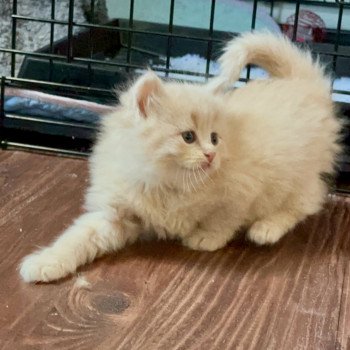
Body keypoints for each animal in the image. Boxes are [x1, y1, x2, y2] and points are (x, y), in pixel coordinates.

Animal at [19, 32, 342, 284]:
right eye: (188, 137)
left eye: (215, 138)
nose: (211, 155)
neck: (169, 182)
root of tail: (304, 84)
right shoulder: (115, 214)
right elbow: (77, 237)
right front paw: (47, 262)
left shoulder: (242, 190)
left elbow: (224, 219)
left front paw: (206, 238)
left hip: (297, 175)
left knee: (307, 201)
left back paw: (267, 228)